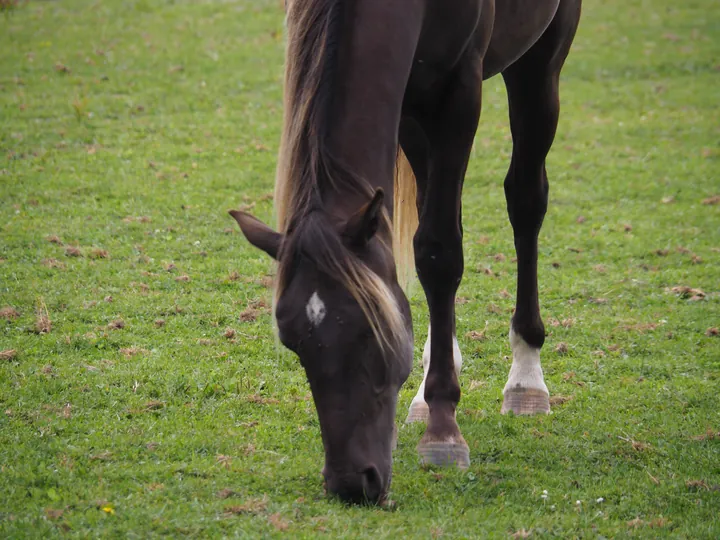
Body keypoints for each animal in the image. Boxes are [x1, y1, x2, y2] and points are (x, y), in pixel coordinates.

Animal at [231, 0, 584, 502]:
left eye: (371, 335)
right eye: (294, 344)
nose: (352, 483)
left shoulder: (458, 91)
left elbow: (440, 252)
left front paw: (444, 430)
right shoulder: (408, 101)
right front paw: (433, 398)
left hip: (540, 62)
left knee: (525, 201)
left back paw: (526, 378)